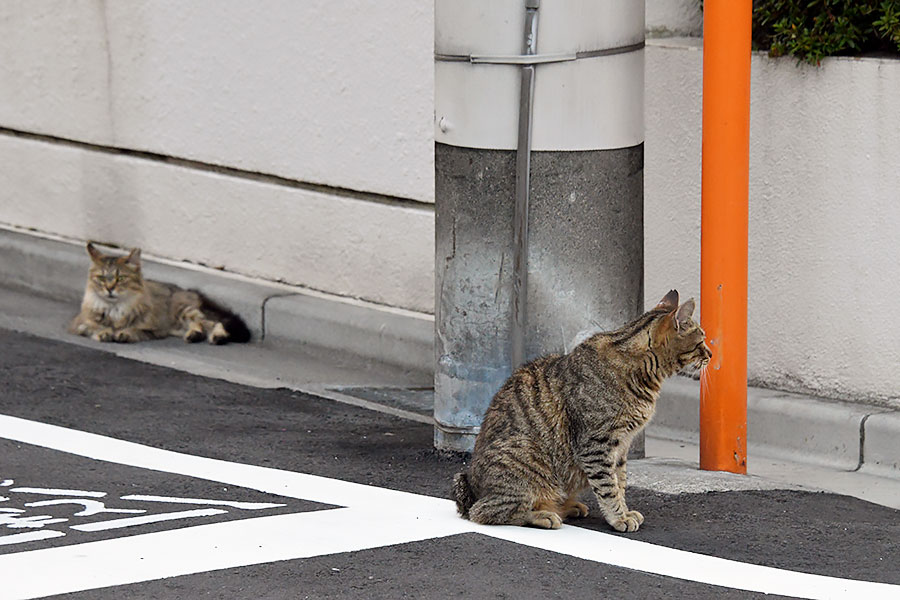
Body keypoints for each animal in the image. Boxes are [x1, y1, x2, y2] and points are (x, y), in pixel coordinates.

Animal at [67, 243, 251, 346]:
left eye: (121, 278)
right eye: (101, 278)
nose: (109, 288)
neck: (115, 309)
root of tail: (190, 291)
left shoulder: (154, 329)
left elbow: (134, 330)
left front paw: (124, 333)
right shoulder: (79, 324)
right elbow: (94, 327)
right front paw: (105, 332)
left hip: (185, 312)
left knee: (213, 323)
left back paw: (217, 337)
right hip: (178, 324)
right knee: (199, 326)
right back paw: (194, 335)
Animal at [454, 292, 712, 532]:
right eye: (701, 342)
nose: (710, 354)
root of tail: (470, 487)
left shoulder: (622, 447)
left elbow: (620, 482)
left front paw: (625, 510)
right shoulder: (595, 445)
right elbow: (608, 487)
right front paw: (619, 517)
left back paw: (567, 506)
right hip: (527, 457)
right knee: (486, 511)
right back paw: (543, 515)